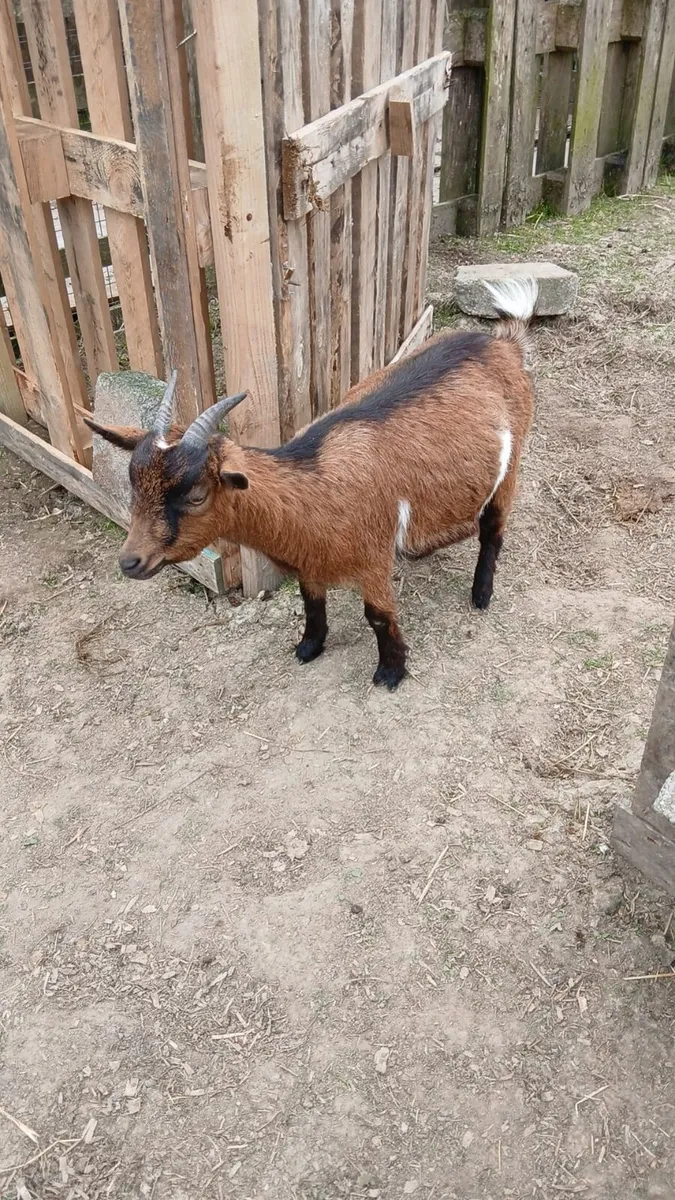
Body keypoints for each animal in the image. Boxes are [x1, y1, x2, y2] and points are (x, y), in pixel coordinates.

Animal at [85, 277, 537, 690]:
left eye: (196, 495)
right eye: (132, 485)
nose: (130, 562)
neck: (312, 490)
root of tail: (503, 343)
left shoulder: (372, 559)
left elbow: (378, 616)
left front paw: (391, 671)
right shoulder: (309, 562)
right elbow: (311, 601)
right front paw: (309, 647)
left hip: (512, 463)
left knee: (492, 530)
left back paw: (481, 595)